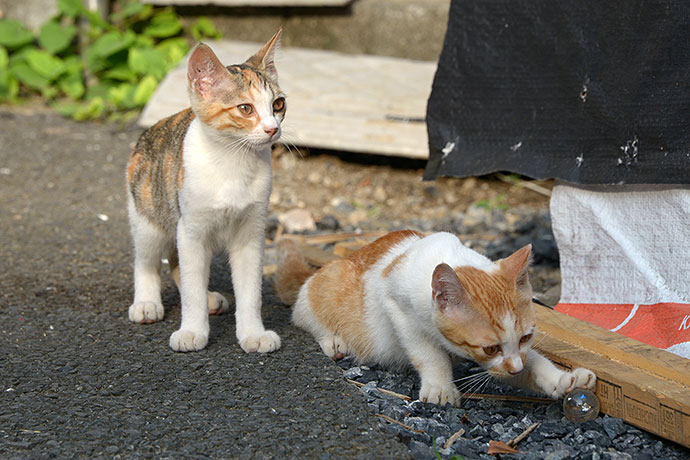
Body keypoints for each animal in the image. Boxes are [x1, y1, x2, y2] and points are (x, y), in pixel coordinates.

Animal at [125, 30, 284, 354]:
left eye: (278, 105)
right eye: (245, 108)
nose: (272, 129)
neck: (233, 163)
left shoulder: (251, 233)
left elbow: (250, 290)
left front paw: (252, 333)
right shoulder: (191, 229)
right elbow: (191, 288)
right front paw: (192, 330)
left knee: (177, 263)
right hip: (149, 216)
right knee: (148, 260)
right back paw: (146, 302)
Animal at [274, 232, 592, 404]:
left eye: (527, 337)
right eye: (490, 348)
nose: (515, 368)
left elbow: (532, 361)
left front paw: (563, 379)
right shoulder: (398, 308)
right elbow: (429, 353)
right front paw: (440, 387)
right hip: (327, 284)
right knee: (304, 312)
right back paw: (332, 340)